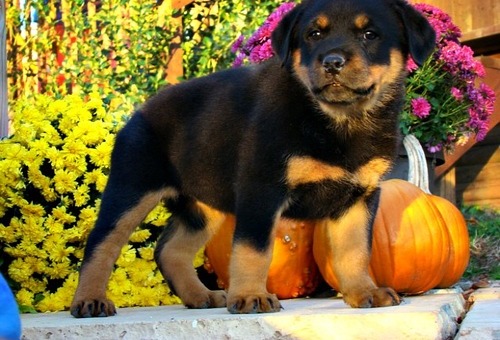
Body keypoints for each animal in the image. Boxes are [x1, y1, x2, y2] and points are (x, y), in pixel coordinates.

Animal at [69, 0, 434, 316]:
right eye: (314, 34)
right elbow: (253, 250)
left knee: (170, 249)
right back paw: (90, 300)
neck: (340, 120)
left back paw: (201, 295)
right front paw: (250, 297)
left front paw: (364, 292)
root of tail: (140, 110)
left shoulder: (359, 196)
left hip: (205, 204)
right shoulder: (262, 188)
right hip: (131, 187)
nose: (332, 62)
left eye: (370, 34)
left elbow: (355, 250)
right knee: (101, 244)